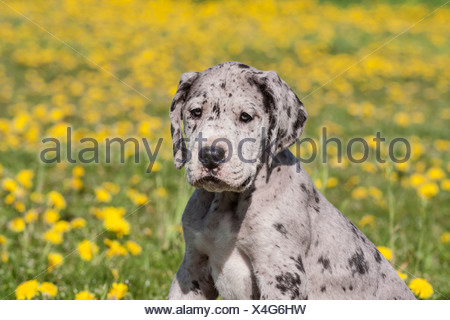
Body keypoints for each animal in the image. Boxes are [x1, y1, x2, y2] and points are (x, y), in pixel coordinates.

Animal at [168, 61, 414, 298]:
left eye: (245, 117)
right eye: (196, 112)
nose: (210, 155)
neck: (227, 202)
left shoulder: (282, 277)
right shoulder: (191, 272)